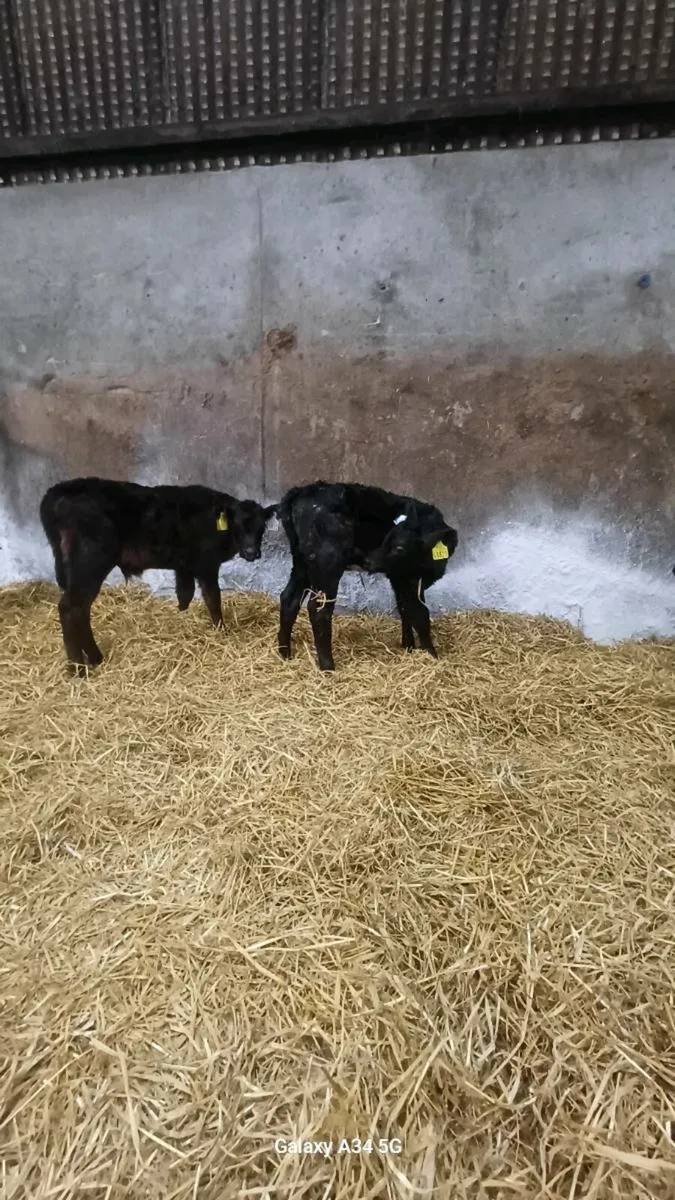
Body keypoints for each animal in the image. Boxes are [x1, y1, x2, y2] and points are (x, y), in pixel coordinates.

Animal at [39, 476, 277, 669]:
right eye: (237, 525)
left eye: (261, 527)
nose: (252, 552)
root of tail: (57, 493)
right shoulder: (206, 565)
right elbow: (213, 599)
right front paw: (222, 631)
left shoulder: (184, 566)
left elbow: (185, 594)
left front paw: (182, 615)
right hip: (90, 561)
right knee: (71, 608)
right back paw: (79, 667)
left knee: (81, 608)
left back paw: (94, 658)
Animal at [277, 480, 458, 671]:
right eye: (388, 538)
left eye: (399, 548)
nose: (371, 561)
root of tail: (302, 491)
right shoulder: (408, 579)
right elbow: (420, 614)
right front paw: (431, 655)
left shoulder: (400, 577)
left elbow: (405, 609)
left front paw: (408, 647)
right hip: (326, 563)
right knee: (319, 609)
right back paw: (328, 667)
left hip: (301, 562)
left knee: (289, 600)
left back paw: (285, 654)